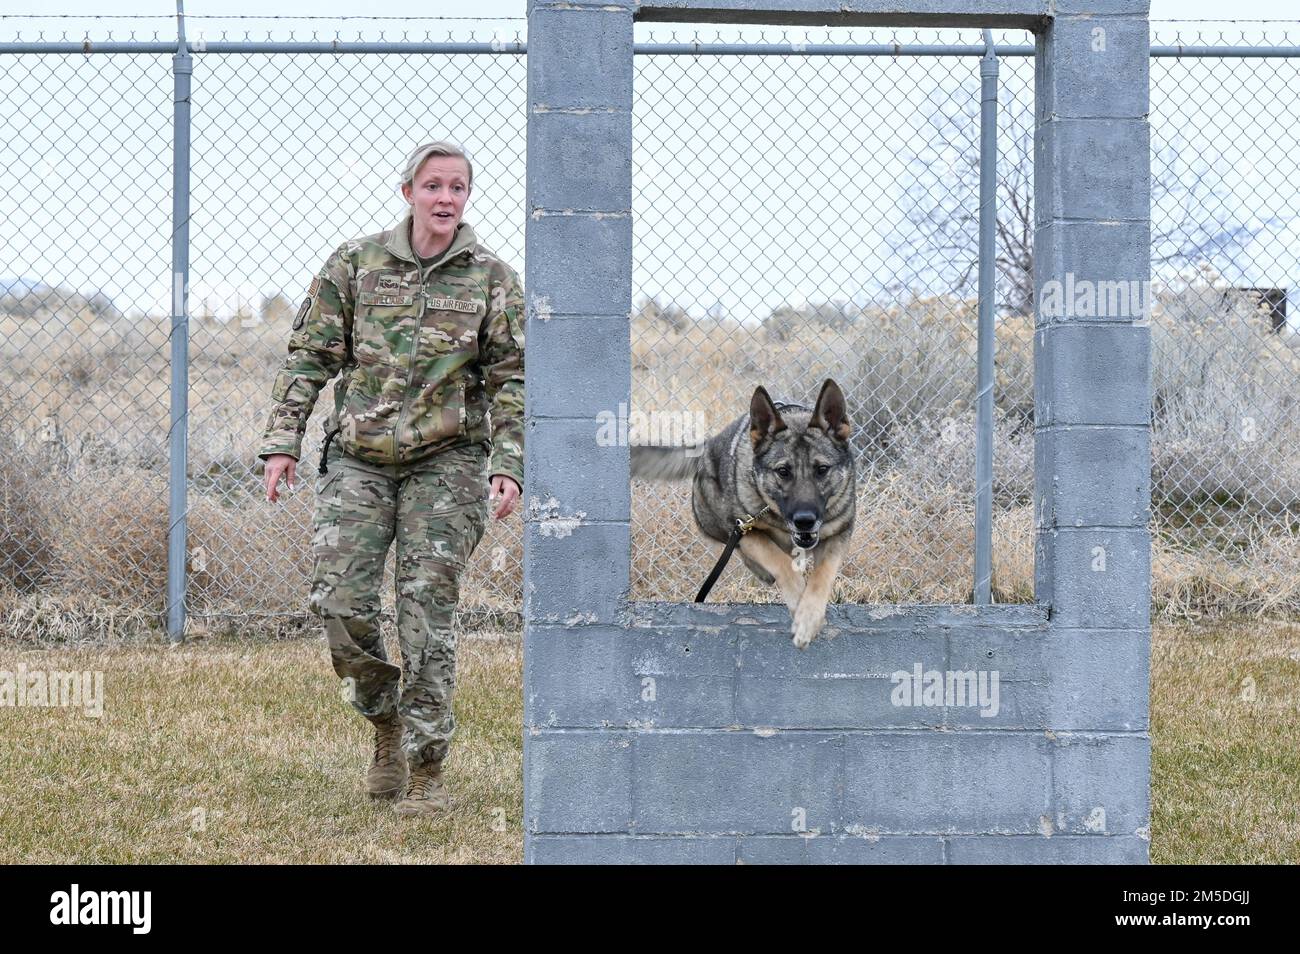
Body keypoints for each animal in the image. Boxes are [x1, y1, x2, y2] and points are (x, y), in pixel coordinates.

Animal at [629, 382, 852, 649]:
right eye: (783, 471)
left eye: (822, 469)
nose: (805, 520)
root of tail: (708, 445)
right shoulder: (747, 531)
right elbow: (779, 561)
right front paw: (799, 604)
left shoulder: (840, 533)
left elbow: (822, 575)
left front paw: (808, 617)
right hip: (719, 524)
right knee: (737, 547)